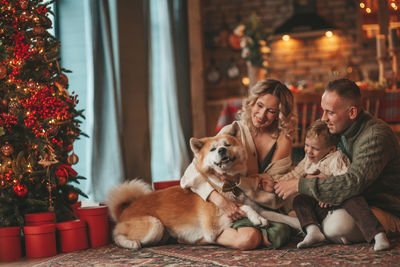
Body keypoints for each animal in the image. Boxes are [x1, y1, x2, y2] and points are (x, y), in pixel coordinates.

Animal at [108, 123, 298, 251]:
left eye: (227, 144)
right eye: (213, 149)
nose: (221, 150)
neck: (224, 185)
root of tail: (125, 208)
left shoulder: (259, 208)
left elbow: (280, 217)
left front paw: (297, 222)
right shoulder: (213, 226)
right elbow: (242, 207)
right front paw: (256, 218)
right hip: (155, 225)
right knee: (116, 236)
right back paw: (131, 243)